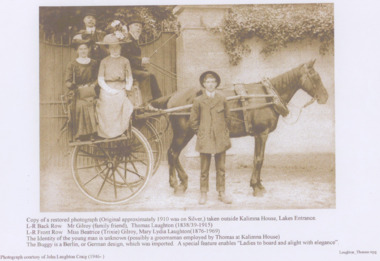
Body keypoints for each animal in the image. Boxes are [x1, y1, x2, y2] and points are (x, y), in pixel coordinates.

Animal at [153, 59, 328, 195]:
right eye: (315, 76)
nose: (325, 97)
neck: (267, 96)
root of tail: (174, 96)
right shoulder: (262, 134)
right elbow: (259, 159)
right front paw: (256, 187)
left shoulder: (259, 135)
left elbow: (257, 158)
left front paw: (257, 184)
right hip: (183, 133)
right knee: (172, 153)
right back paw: (177, 184)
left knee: (174, 155)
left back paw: (181, 182)